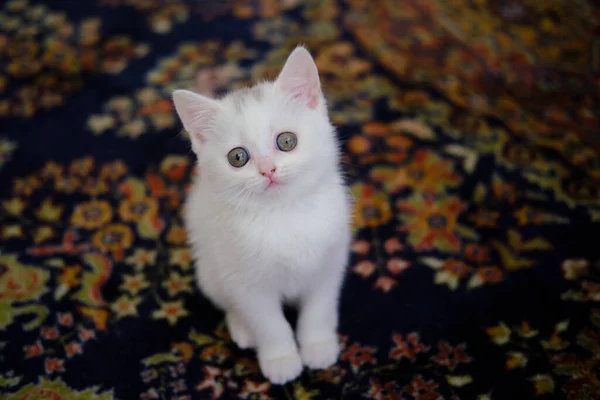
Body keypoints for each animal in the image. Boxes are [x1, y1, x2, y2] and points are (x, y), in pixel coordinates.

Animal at [171, 47, 352, 384]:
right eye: (237, 157)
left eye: (286, 141)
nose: (268, 169)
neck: (283, 215)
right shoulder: (247, 284)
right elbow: (269, 324)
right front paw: (281, 359)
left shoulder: (329, 264)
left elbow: (319, 308)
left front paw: (318, 346)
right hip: (210, 269)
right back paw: (242, 329)